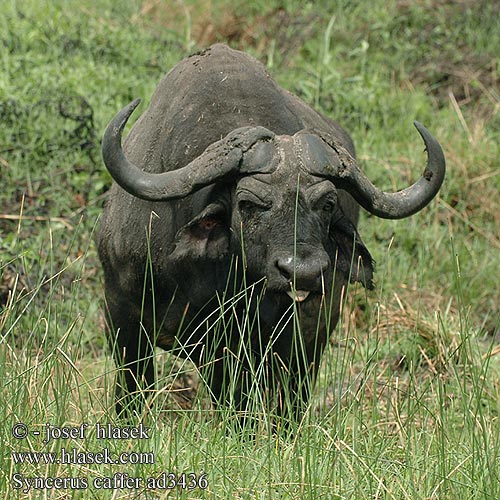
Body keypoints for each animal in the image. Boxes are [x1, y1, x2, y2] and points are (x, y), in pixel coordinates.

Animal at [98, 43, 446, 420]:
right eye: (247, 203)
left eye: (327, 203)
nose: (304, 272)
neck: (197, 274)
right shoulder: (122, 316)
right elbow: (131, 389)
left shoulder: (247, 345)